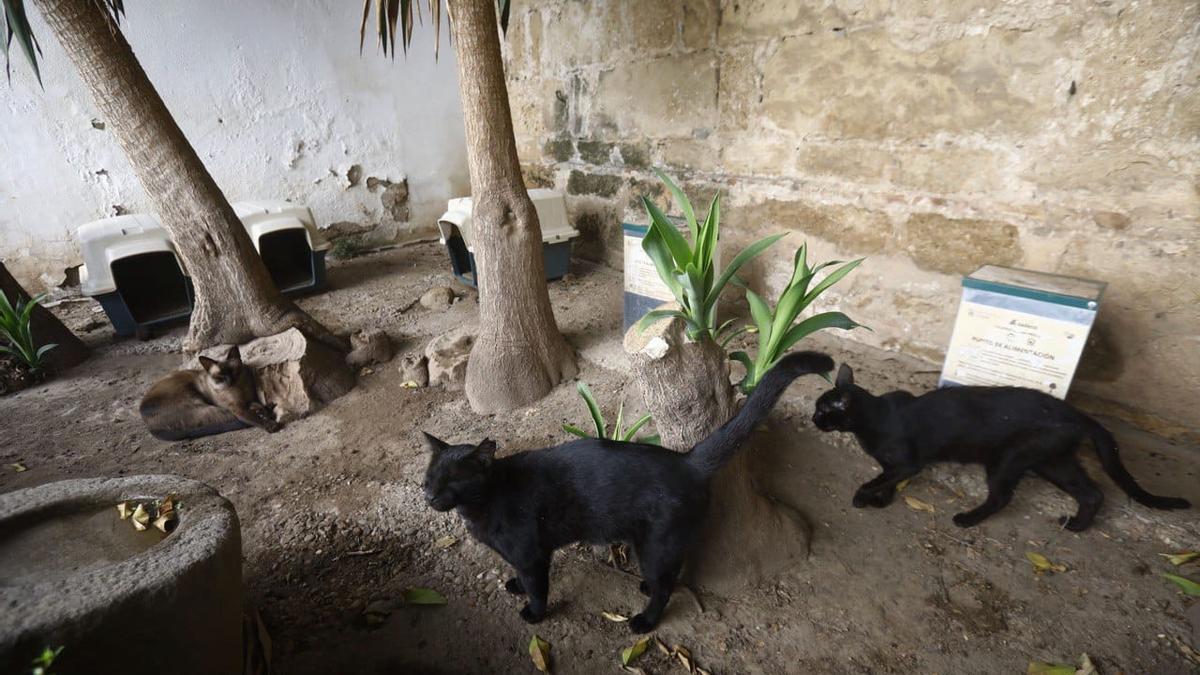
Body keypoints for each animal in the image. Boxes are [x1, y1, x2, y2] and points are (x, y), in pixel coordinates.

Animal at [139, 343, 279, 439]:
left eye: (233, 371)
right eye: (219, 376)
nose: (229, 381)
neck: (240, 388)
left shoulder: (250, 399)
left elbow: (257, 405)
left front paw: (265, 411)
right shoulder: (238, 407)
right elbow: (254, 418)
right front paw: (270, 424)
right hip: (207, 406)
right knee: (235, 420)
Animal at [422, 348, 835, 629]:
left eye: (453, 479)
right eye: (429, 477)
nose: (429, 495)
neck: (482, 505)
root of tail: (687, 459)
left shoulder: (533, 554)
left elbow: (538, 587)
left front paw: (534, 613)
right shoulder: (524, 556)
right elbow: (523, 578)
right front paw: (515, 586)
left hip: (654, 543)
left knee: (666, 584)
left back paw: (645, 621)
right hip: (657, 542)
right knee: (671, 570)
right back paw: (647, 590)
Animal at [811, 362, 1185, 530]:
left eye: (823, 410)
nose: (814, 418)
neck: (876, 418)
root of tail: (1077, 414)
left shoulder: (906, 461)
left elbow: (878, 478)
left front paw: (863, 497)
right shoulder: (901, 465)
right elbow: (888, 479)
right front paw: (882, 500)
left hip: (1009, 459)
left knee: (1002, 496)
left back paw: (967, 519)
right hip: (1053, 460)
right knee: (1093, 492)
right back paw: (1076, 526)